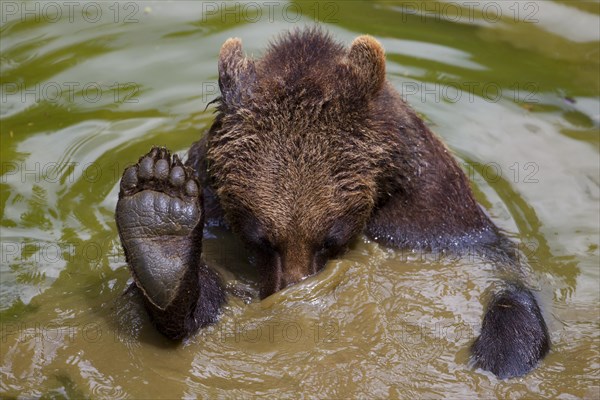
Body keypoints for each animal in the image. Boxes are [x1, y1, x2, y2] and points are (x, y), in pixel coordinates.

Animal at [115, 27, 552, 378]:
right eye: (261, 238)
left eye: (331, 236)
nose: (292, 290)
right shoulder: (212, 200)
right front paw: (162, 221)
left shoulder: (430, 216)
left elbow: (500, 274)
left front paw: (501, 355)